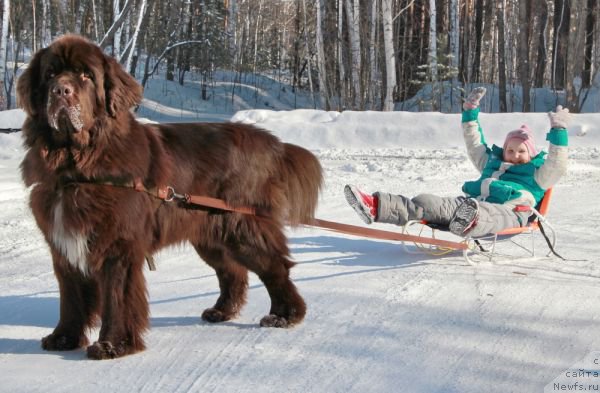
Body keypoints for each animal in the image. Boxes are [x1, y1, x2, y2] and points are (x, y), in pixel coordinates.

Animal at [16, 35, 322, 360]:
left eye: (86, 75)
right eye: (50, 74)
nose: (61, 90)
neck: (76, 168)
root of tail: (272, 142)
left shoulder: (118, 247)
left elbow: (117, 296)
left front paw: (112, 345)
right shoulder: (64, 244)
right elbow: (71, 297)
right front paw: (63, 338)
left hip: (242, 227)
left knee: (275, 267)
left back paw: (284, 315)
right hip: (210, 235)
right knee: (233, 272)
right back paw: (221, 311)